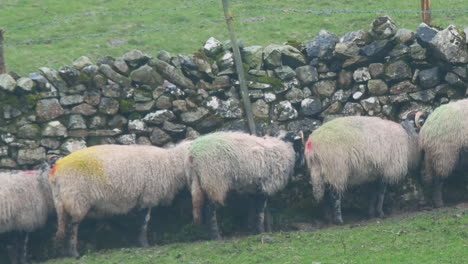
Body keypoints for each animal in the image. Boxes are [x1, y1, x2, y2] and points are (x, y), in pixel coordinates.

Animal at [48, 140, 191, 258]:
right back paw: (74, 253)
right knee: (72, 226)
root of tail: (57, 167)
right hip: (76, 199)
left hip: (61, 201)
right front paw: (144, 243)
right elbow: (144, 221)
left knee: (63, 227)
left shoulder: (142, 198)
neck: (171, 163)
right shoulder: (147, 196)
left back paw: (66, 252)